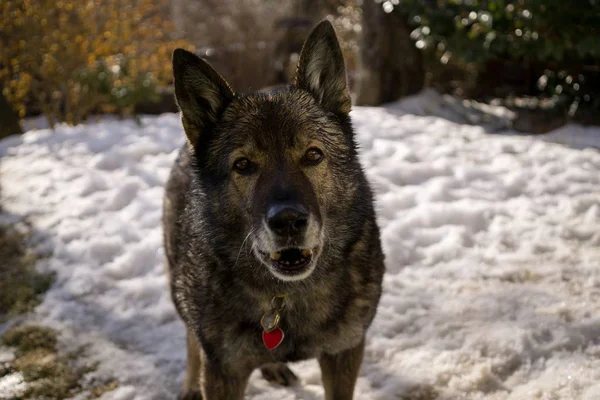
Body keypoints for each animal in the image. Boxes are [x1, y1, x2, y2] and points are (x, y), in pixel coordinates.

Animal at [162, 19, 384, 400]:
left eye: (313, 155)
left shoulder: (344, 351)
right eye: (243, 165)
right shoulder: (222, 369)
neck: (285, 299)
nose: (289, 221)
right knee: (191, 340)